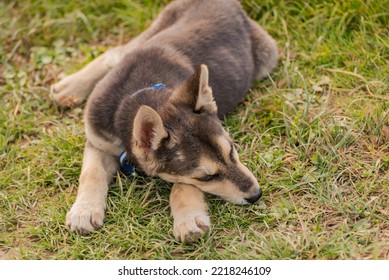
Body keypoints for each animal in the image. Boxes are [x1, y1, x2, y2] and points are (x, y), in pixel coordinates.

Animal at [50, 0, 276, 242]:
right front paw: (84, 211)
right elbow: (91, 173)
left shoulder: (183, 177)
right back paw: (70, 87)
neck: (135, 95)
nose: (256, 194)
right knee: (114, 53)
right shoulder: (97, 140)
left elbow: (181, 187)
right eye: (206, 177)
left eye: (232, 151)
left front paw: (188, 219)